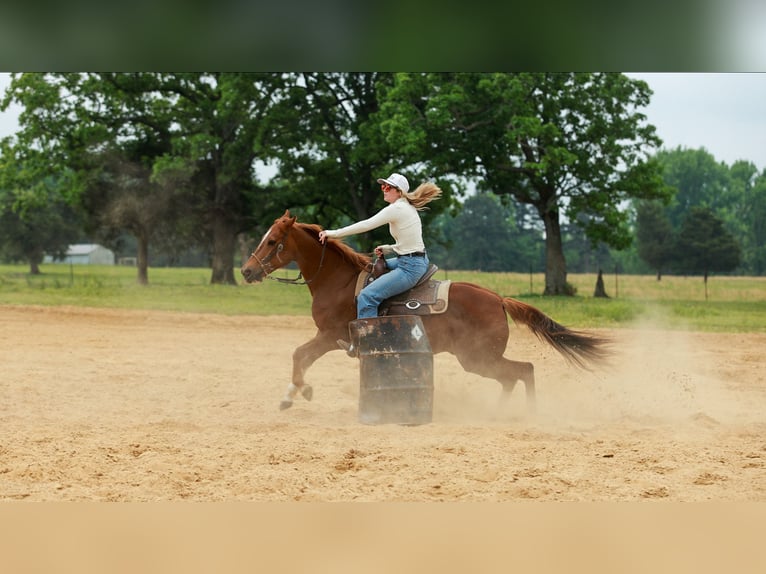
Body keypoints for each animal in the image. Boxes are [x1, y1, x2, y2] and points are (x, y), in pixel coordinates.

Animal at [240, 210, 611, 411]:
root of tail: (498, 299)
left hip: (477, 357)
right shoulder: (327, 337)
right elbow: (299, 356)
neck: (338, 281)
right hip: (479, 358)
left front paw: (298, 393)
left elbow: (300, 355)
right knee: (514, 376)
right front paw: (292, 395)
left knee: (524, 370)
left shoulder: (331, 336)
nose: (246, 271)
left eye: (272, 241)